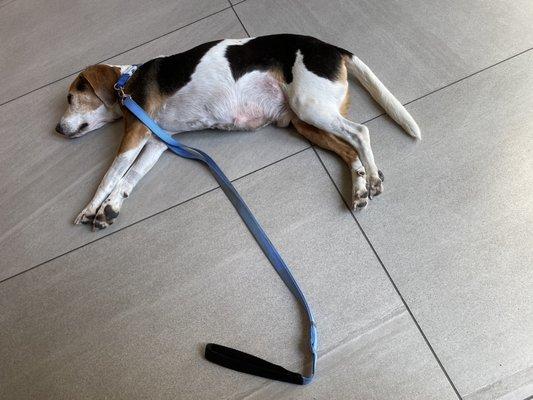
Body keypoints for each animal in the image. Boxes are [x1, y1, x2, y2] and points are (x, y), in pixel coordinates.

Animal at [55, 33, 420, 231]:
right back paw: (359, 188)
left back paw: (372, 177)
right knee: (348, 150)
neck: (125, 82)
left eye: (71, 98)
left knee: (361, 133)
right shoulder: (157, 142)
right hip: (307, 121)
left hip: (311, 108)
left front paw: (90, 208)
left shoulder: (134, 136)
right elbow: (128, 179)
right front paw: (110, 208)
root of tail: (332, 48)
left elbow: (109, 177)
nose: (57, 129)